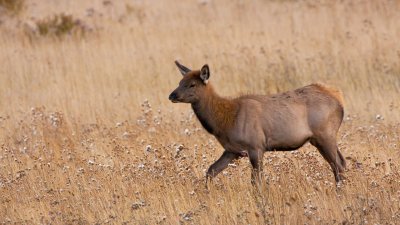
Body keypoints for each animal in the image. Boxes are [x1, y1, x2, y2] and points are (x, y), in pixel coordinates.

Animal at [167, 61, 346, 185]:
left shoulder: (256, 145)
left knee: (339, 166)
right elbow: (211, 170)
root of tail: (339, 98)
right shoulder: (232, 150)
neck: (225, 121)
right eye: (179, 82)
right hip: (321, 138)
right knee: (341, 163)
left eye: (192, 84)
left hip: (325, 134)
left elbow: (256, 182)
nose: (172, 95)